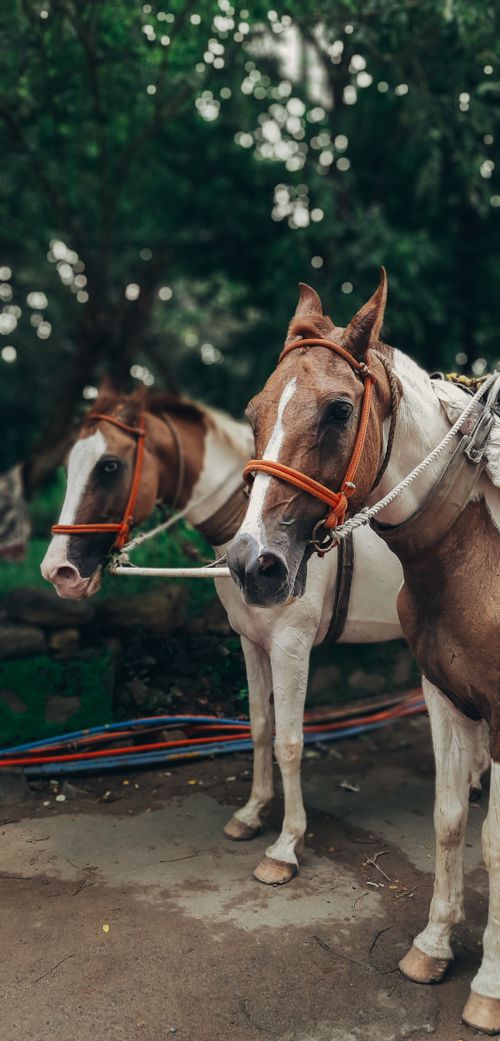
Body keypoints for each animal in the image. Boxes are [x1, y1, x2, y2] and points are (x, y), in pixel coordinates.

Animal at [227, 273, 499, 1033]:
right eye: (254, 411)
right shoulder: (444, 694)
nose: (253, 564)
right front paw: (433, 944)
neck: (471, 548)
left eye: (339, 409)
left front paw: (490, 984)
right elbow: (449, 818)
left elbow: (494, 842)